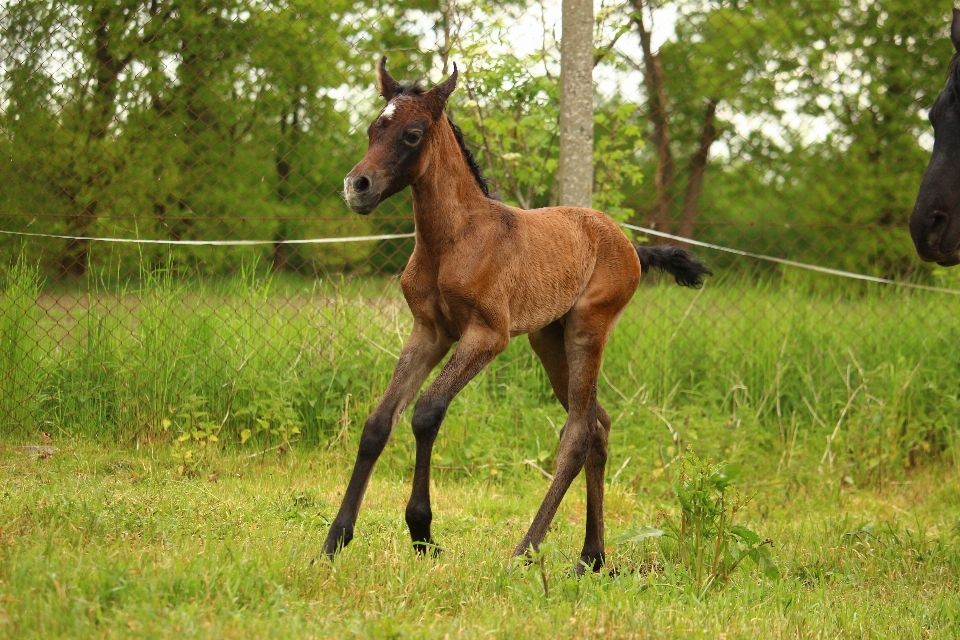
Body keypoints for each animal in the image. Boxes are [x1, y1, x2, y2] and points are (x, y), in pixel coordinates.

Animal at [326, 57, 708, 572]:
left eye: (412, 134)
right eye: (373, 128)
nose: (357, 187)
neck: (453, 240)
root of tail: (630, 244)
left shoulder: (488, 335)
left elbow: (426, 412)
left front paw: (422, 533)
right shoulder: (428, 332)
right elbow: (378, 423)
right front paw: (336, 539)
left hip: (588, 328)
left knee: (578, 433)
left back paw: (526, 550)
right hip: (548, 338)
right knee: (599, 424)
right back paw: (591, 557)